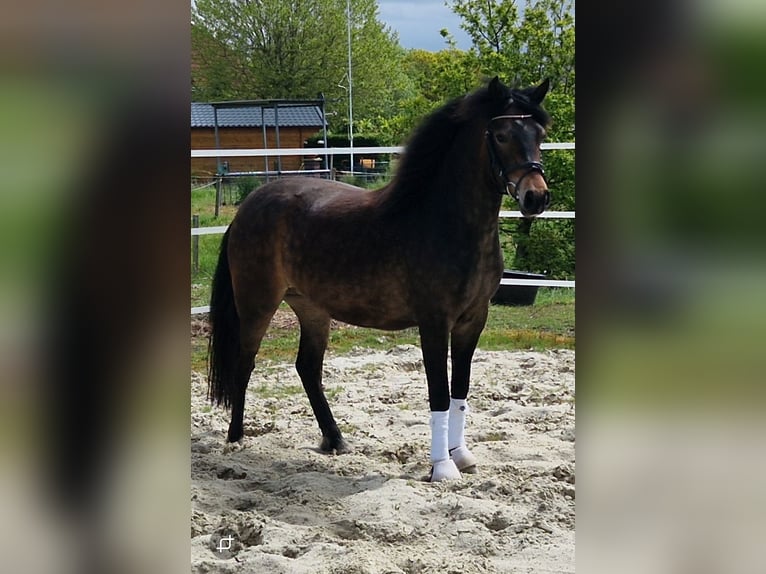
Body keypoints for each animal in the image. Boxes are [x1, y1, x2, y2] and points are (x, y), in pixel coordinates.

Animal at [207, 76, 551, 481]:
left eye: (539, 133)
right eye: (500, 135)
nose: (536, 197)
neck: (444, 223)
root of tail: (249, 205)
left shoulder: (473, 320)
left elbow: (460, 390)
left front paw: (462, 456)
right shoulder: (435, 322)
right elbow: (438, 391)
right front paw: (442, 467)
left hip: (312, 308)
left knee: (307, 367)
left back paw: (336, 440)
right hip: (257, 303)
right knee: (245, 363)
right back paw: (236, 439)